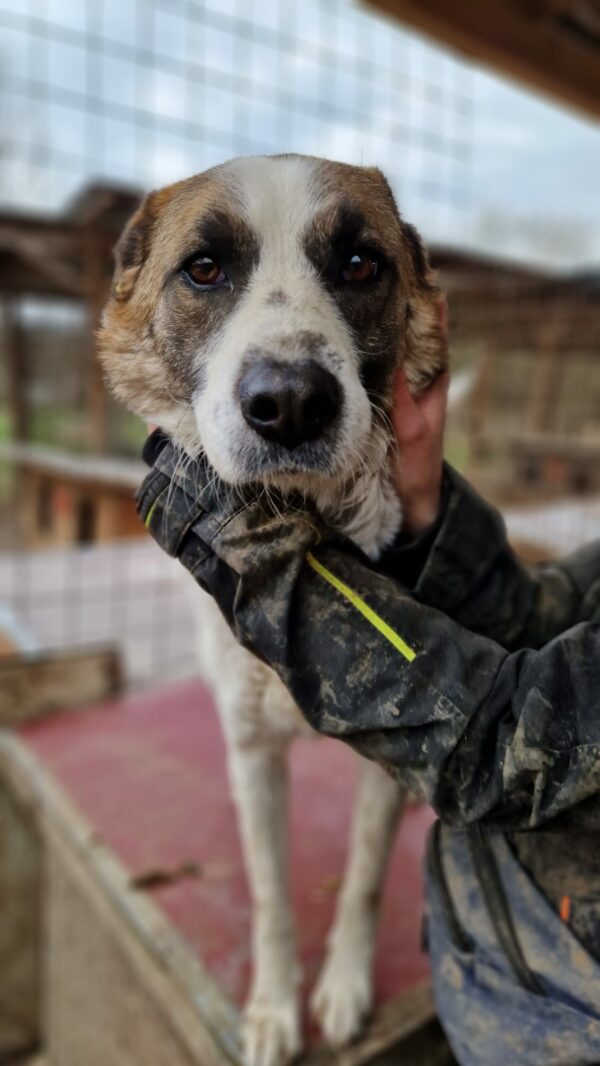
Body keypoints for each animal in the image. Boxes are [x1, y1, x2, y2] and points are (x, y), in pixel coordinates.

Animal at [99, 155, 445, 1066]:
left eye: (360, 264)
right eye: (204, 268)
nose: (290, 402)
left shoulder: (388, 755)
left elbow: (364, 882)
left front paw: (346, 987)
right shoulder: (253, 754)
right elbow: (270, 895)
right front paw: (273, 1009)